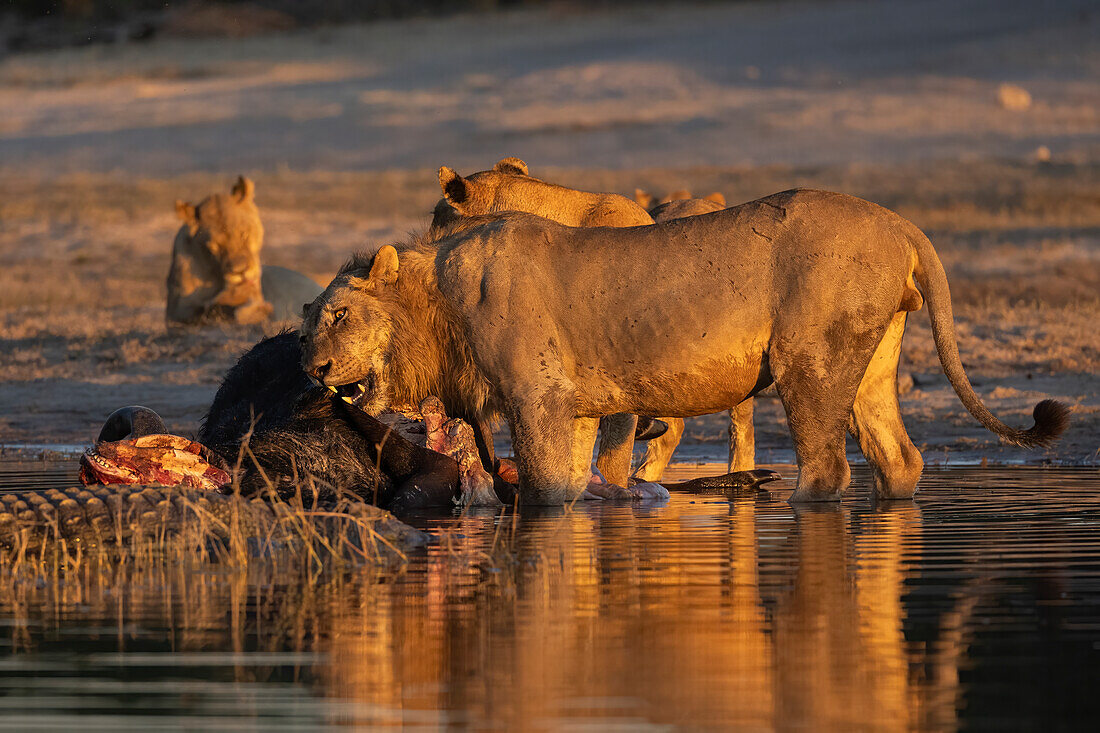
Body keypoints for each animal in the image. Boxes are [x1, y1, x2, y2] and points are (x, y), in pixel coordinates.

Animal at [299, 188, 1064, 501]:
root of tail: (903, 224)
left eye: (338, 312)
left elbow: (545, 489)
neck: (439, 294)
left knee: (827, 469)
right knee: (899, 460)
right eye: (307, 317)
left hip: (810, 363)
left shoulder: (536, 397)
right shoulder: (578, 407)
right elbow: (577, 482)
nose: (312, 366)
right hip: (871, 364)